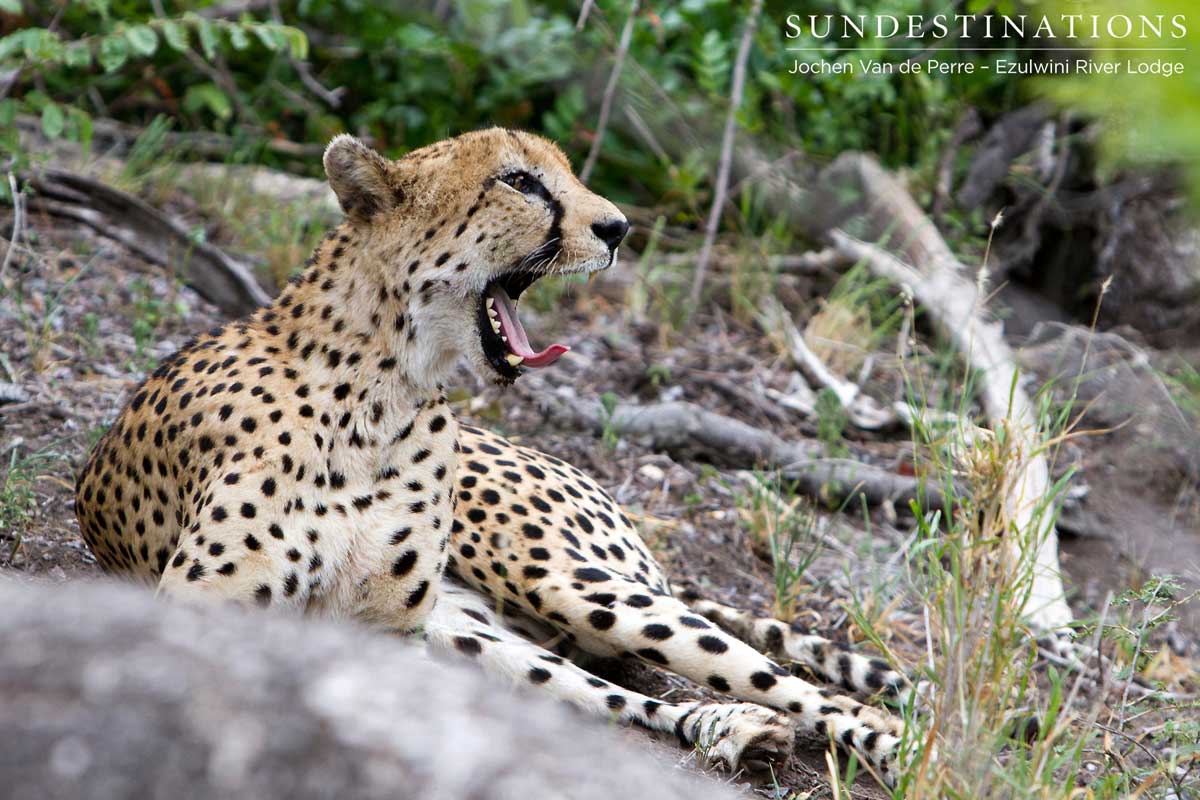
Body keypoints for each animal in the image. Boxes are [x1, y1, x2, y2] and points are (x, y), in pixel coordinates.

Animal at [75, 127, 912, 786]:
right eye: (519, 181)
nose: (619, 228)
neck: (386, 389)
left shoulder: (384, 629)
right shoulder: (211, 617)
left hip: (568, 583)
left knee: (798, 684)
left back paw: (899, 740)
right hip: (479, 628)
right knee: (615, 693)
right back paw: (734, 729)